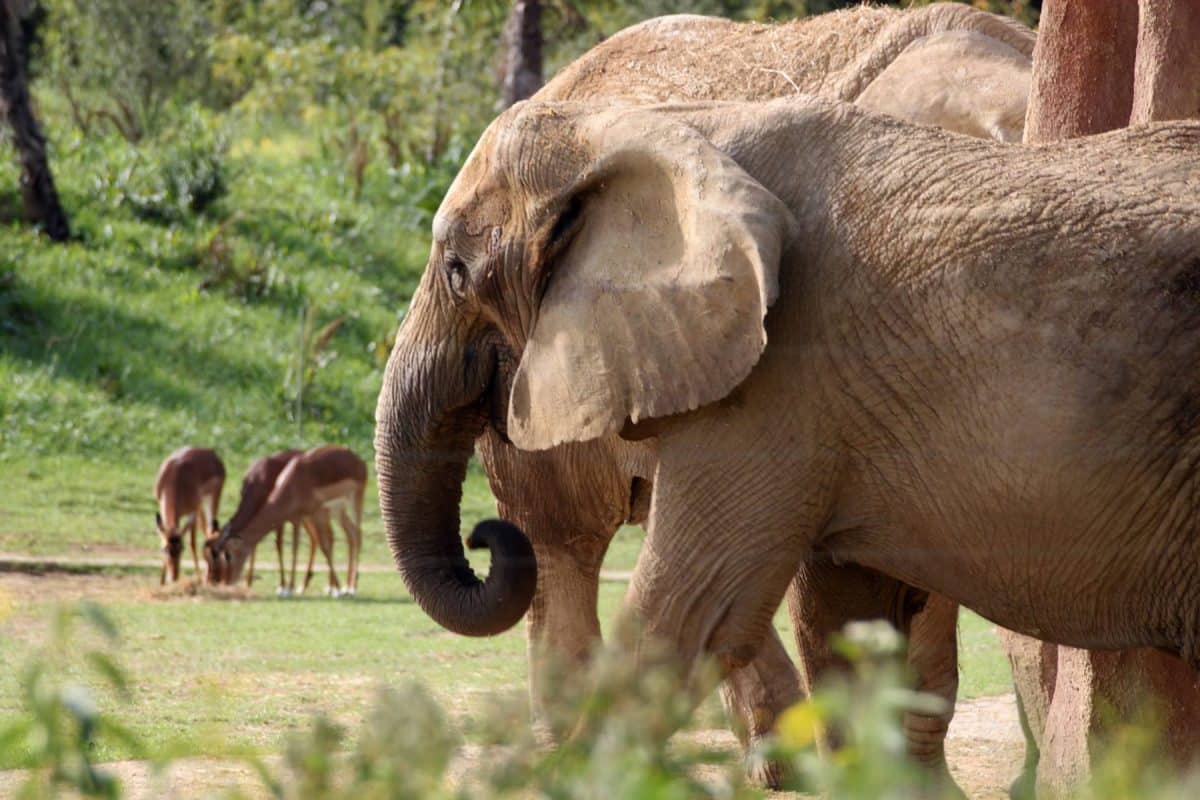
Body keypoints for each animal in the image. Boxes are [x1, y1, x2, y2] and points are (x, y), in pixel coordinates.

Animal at [154, 448, 225, 585]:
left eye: (182, 548)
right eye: (165, 549)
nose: (174, 578)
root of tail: (212, 453)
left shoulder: (193, 512)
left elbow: (193, 544)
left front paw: (198, 579)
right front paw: (161, 582)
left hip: (211, 501)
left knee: (211, 532)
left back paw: (208, 578)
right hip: (202, 509)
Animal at [208, 448, 364, 597]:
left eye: (227, 555)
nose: (220, 581)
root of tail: (357, 459)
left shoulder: (292, 518)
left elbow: (285, 547)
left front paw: (285, 588)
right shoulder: (292, 518)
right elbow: (284, 547)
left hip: (347, 506)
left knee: (354, 534)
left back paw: (350, 588)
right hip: (334, 512)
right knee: (340, 535)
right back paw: (320, 586)